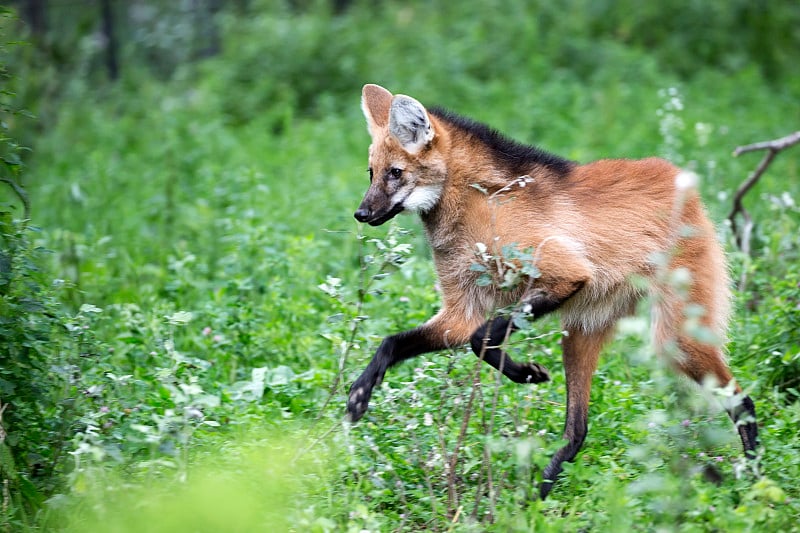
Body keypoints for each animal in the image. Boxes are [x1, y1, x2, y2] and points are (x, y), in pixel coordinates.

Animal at [346, 83, 760, 498]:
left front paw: (526, 373)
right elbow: (396, 342)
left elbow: (481, 338)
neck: (478, 204)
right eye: (371, 173)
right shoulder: (461, 311)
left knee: (743, 400)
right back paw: (539, 495)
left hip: (676, 339)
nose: (361, 214)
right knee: (578, 428)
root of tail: (681, 181)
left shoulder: (566, 275)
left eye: (396, 173)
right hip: (581, 331)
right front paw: (359, 396)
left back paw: (757, 481)